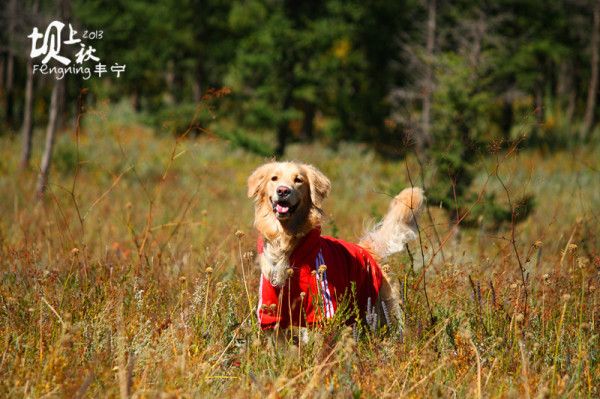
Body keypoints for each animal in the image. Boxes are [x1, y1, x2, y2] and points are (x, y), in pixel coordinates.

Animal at [246, 161, 424, 336]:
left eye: (298, 180)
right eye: (274, 178)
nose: (283, 190)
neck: (287, 242)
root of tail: (367, 250)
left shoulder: (321, 311)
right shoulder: (271, 314)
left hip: (386, 312)